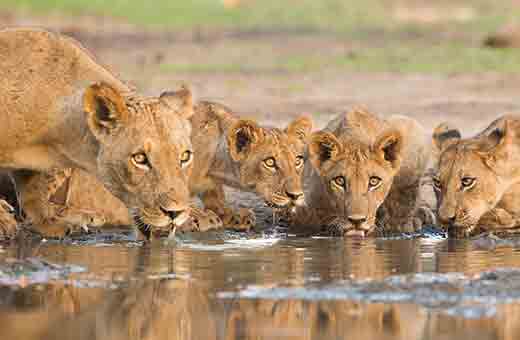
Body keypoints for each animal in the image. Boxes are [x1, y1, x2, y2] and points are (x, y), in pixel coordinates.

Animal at [0, 28, 195, 239]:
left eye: (185, 156)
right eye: (140, 158)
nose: (175, 213)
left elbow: (33, 189)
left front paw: (50, 222)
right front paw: (4, 222)